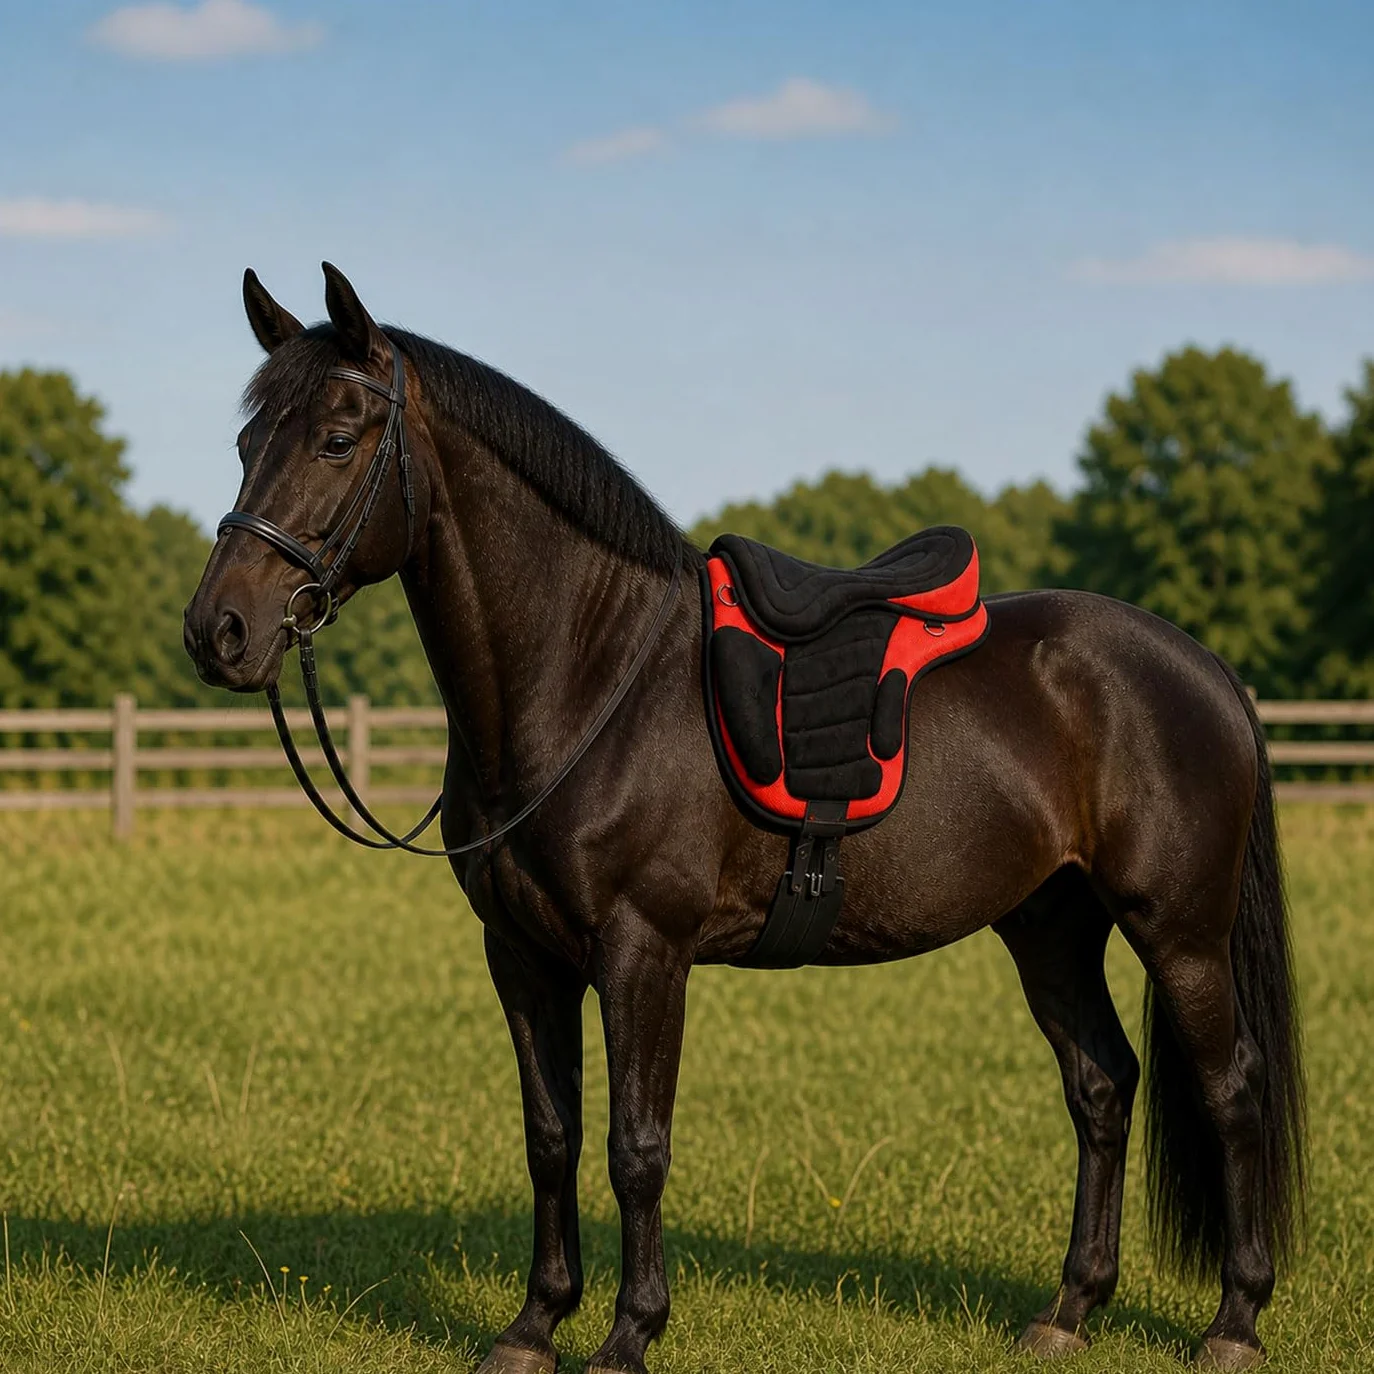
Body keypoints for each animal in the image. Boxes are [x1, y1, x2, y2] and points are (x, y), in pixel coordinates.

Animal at [184, 263, 1304, 1373]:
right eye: (244, 445)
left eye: (336, 439)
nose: (218, 631)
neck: (593, 678)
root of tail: (1203, 667)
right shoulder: (522, 956)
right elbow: (551, 1138)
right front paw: (535, 1325)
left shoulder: (644, 951)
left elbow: (636, 1149)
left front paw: (629, 1334)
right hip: (1051, 926)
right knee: (1102, 1086)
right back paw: (1069, 1309)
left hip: (1178, 931)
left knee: (1231, 1088)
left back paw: (1234, 1320)